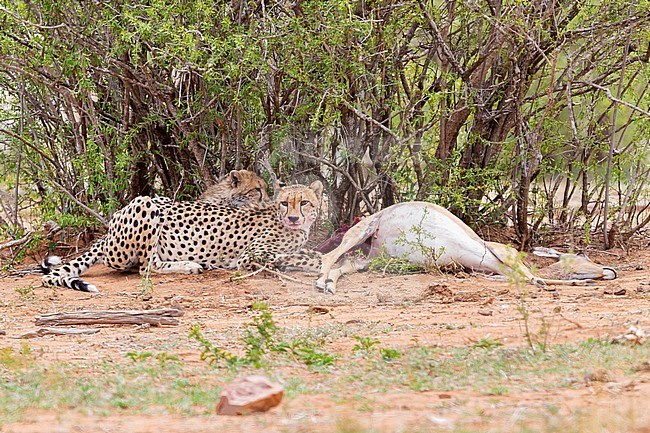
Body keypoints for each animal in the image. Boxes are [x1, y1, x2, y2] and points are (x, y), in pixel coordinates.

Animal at [40, 179, 322, 294]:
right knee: (146, 267)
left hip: (160, 199)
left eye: (304, 202)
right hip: (144, 204)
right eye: (285, 203)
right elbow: (300, 256)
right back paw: (188, 265)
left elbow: (307, 252)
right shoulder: (251, 256)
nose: (293, 218)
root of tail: (109, 230)